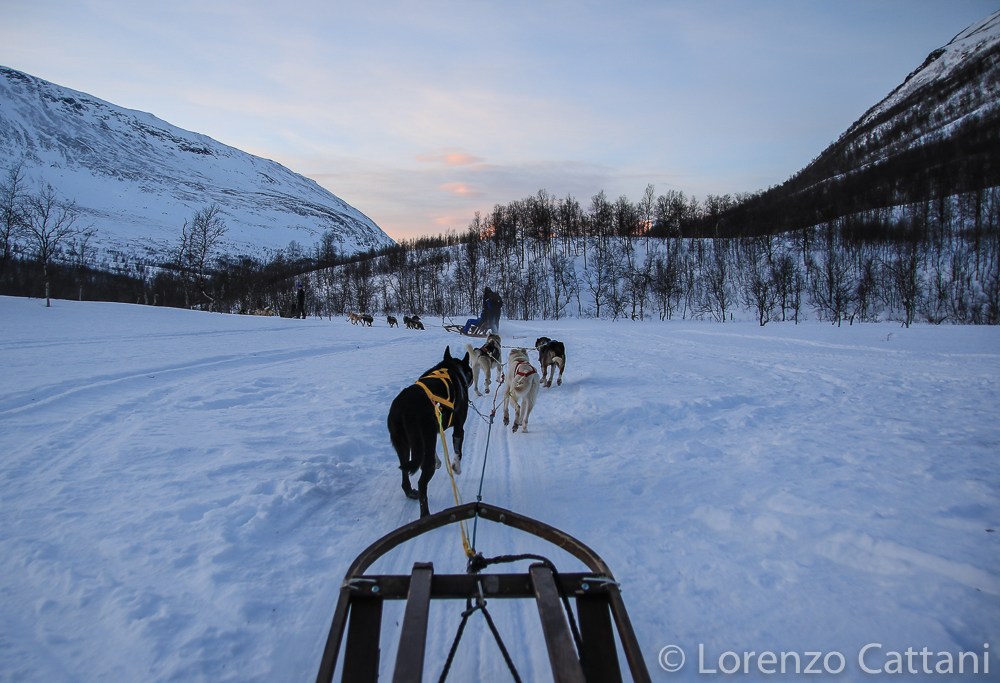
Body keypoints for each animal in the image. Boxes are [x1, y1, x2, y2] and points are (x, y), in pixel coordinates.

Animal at [387, 347, 473, 518]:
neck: (451, 367)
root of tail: (404, 409)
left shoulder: (434, 433)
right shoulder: (458, 428)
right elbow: (458, 452)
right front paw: (456, 467)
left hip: (404, 445)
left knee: (405, 473)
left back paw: (410, 492)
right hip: (422, 442)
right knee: (422, 483)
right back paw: (425, 515)